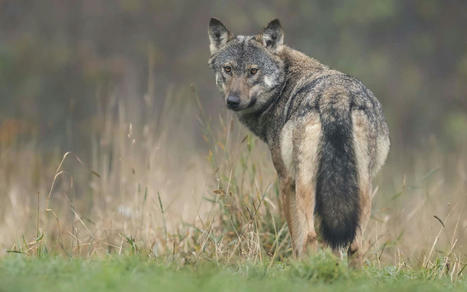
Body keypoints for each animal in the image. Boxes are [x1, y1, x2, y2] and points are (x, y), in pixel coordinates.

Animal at [208, 17, 392, 264]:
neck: (284, 84)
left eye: (253, 71)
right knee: (355, 244)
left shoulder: (286, 181)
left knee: (312, 236)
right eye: (228, 69)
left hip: (307, 184)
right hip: (361, 186)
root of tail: (336, 97)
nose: (233, 101)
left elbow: (296, 236)